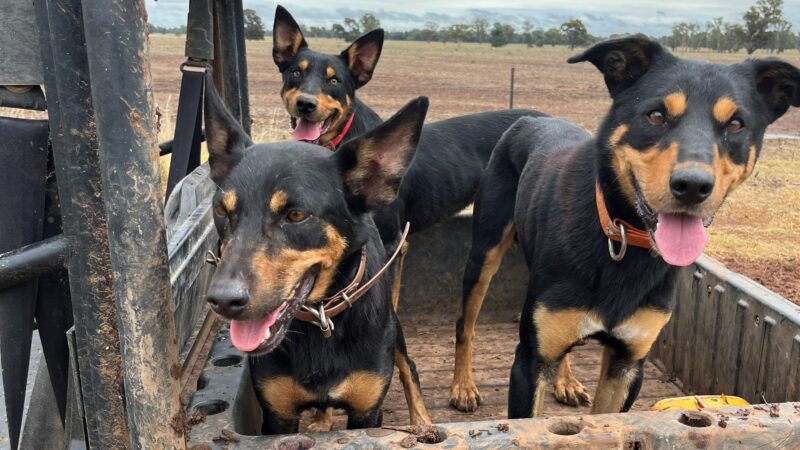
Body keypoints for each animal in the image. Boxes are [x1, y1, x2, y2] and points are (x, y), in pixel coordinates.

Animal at [203, 73, 434, 432]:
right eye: (222, 211)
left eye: (296, 215)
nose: (224, 300)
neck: (319, 321)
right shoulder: (277, 416)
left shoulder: (367, 414)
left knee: (408, 366)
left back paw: (422, 421)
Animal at [454, 35, 796, 418]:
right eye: (656, 115)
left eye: (736, 124)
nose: (693, 186)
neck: (621, 237)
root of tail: (527, 119)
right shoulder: (529, 363)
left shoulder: (628, 363)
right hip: (484, 254)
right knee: (466, 324)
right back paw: (463, 387)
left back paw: (566, 381)